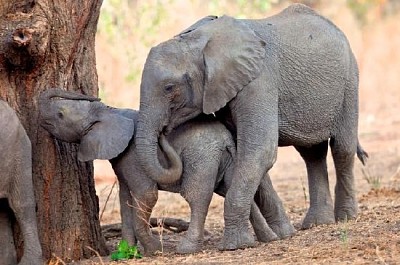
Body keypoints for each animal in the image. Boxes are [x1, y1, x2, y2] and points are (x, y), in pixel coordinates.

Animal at [39, 89, 296, 255]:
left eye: (61, 115)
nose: (94, 94)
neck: (109, 112)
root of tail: (225, 139)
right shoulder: (122, 162)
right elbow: (125, 200)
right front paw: (126, 251)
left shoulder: (132, 157)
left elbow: (146, 195)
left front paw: (155, 251)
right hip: (227, 159)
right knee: (232, 189)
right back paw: (265, 239)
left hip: (202, 158)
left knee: (196, 196)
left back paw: (186, 249)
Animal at [135, 2, 368, 250]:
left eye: (169, 87)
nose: (164, 131)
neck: (199, 42)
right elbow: (246, 153)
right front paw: (282, 234)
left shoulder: (258, 82)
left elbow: (259, 150)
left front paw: (235, 245)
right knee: (312, 154)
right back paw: (317, 223)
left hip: (350, 81)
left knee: (342, 149)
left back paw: (346, 217)